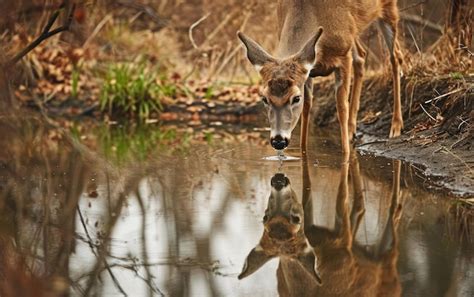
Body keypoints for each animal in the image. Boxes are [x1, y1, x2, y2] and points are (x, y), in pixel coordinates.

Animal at [237, 0, 404, 157]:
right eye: (264, 98)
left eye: (296, 98)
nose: (278, 141)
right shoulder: (309, 70)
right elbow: (307, 107)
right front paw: (303, 152)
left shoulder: (343, 55)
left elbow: (341, 107)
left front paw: (346, 154)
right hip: (354, 31)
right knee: (361, 55)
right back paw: (352, 130)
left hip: (388, 9)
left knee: (395, 56)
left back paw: (396, 126)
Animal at [237, 153, 404, 296]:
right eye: (265, 217)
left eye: (296, 219)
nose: (278, 181)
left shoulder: (342, 241)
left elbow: (342, 196)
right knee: (362, 211)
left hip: (387, 264)